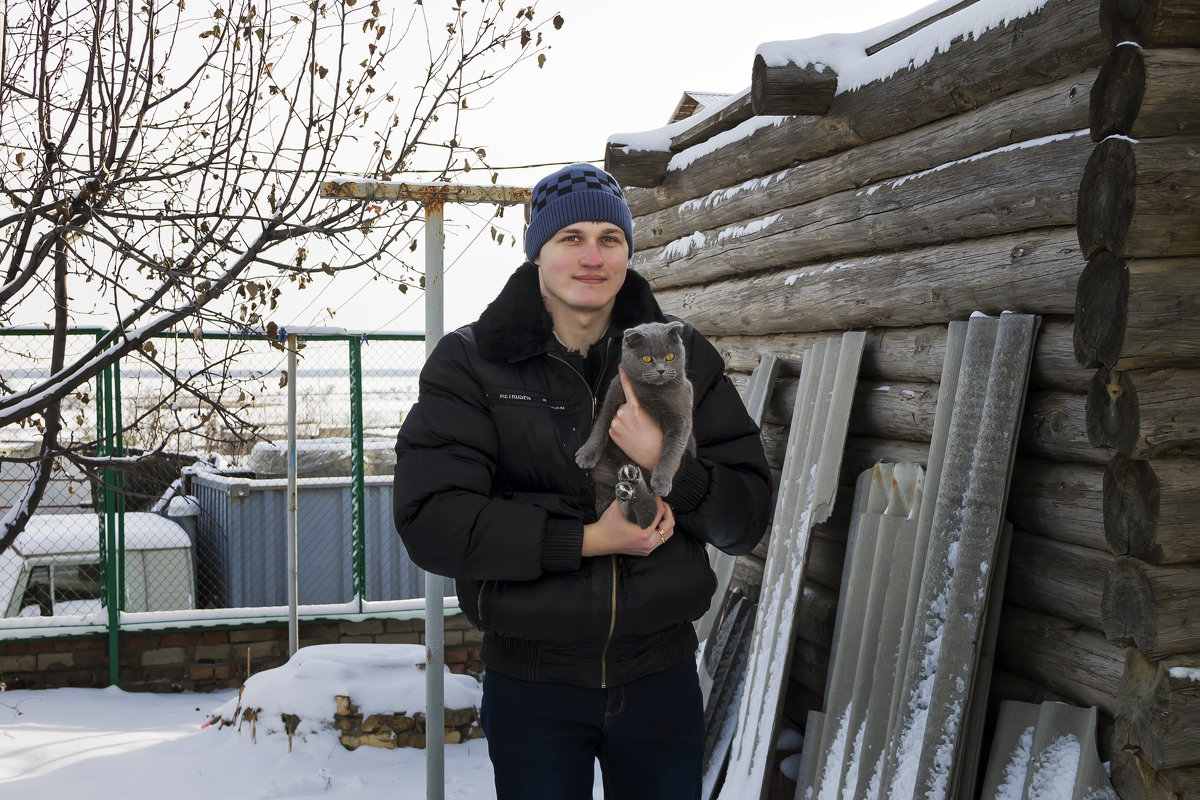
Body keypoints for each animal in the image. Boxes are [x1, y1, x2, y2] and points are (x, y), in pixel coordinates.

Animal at [576, 321, 700, 527]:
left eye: (670, 356)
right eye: (647, 359)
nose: (661, 370)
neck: (652, 393)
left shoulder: (681, 419)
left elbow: (672, 449)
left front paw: (662, 481)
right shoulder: (612, 399)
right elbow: (600, 428)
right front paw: (586, 454)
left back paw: (632, 482)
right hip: (604, 480)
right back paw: (627, 487)